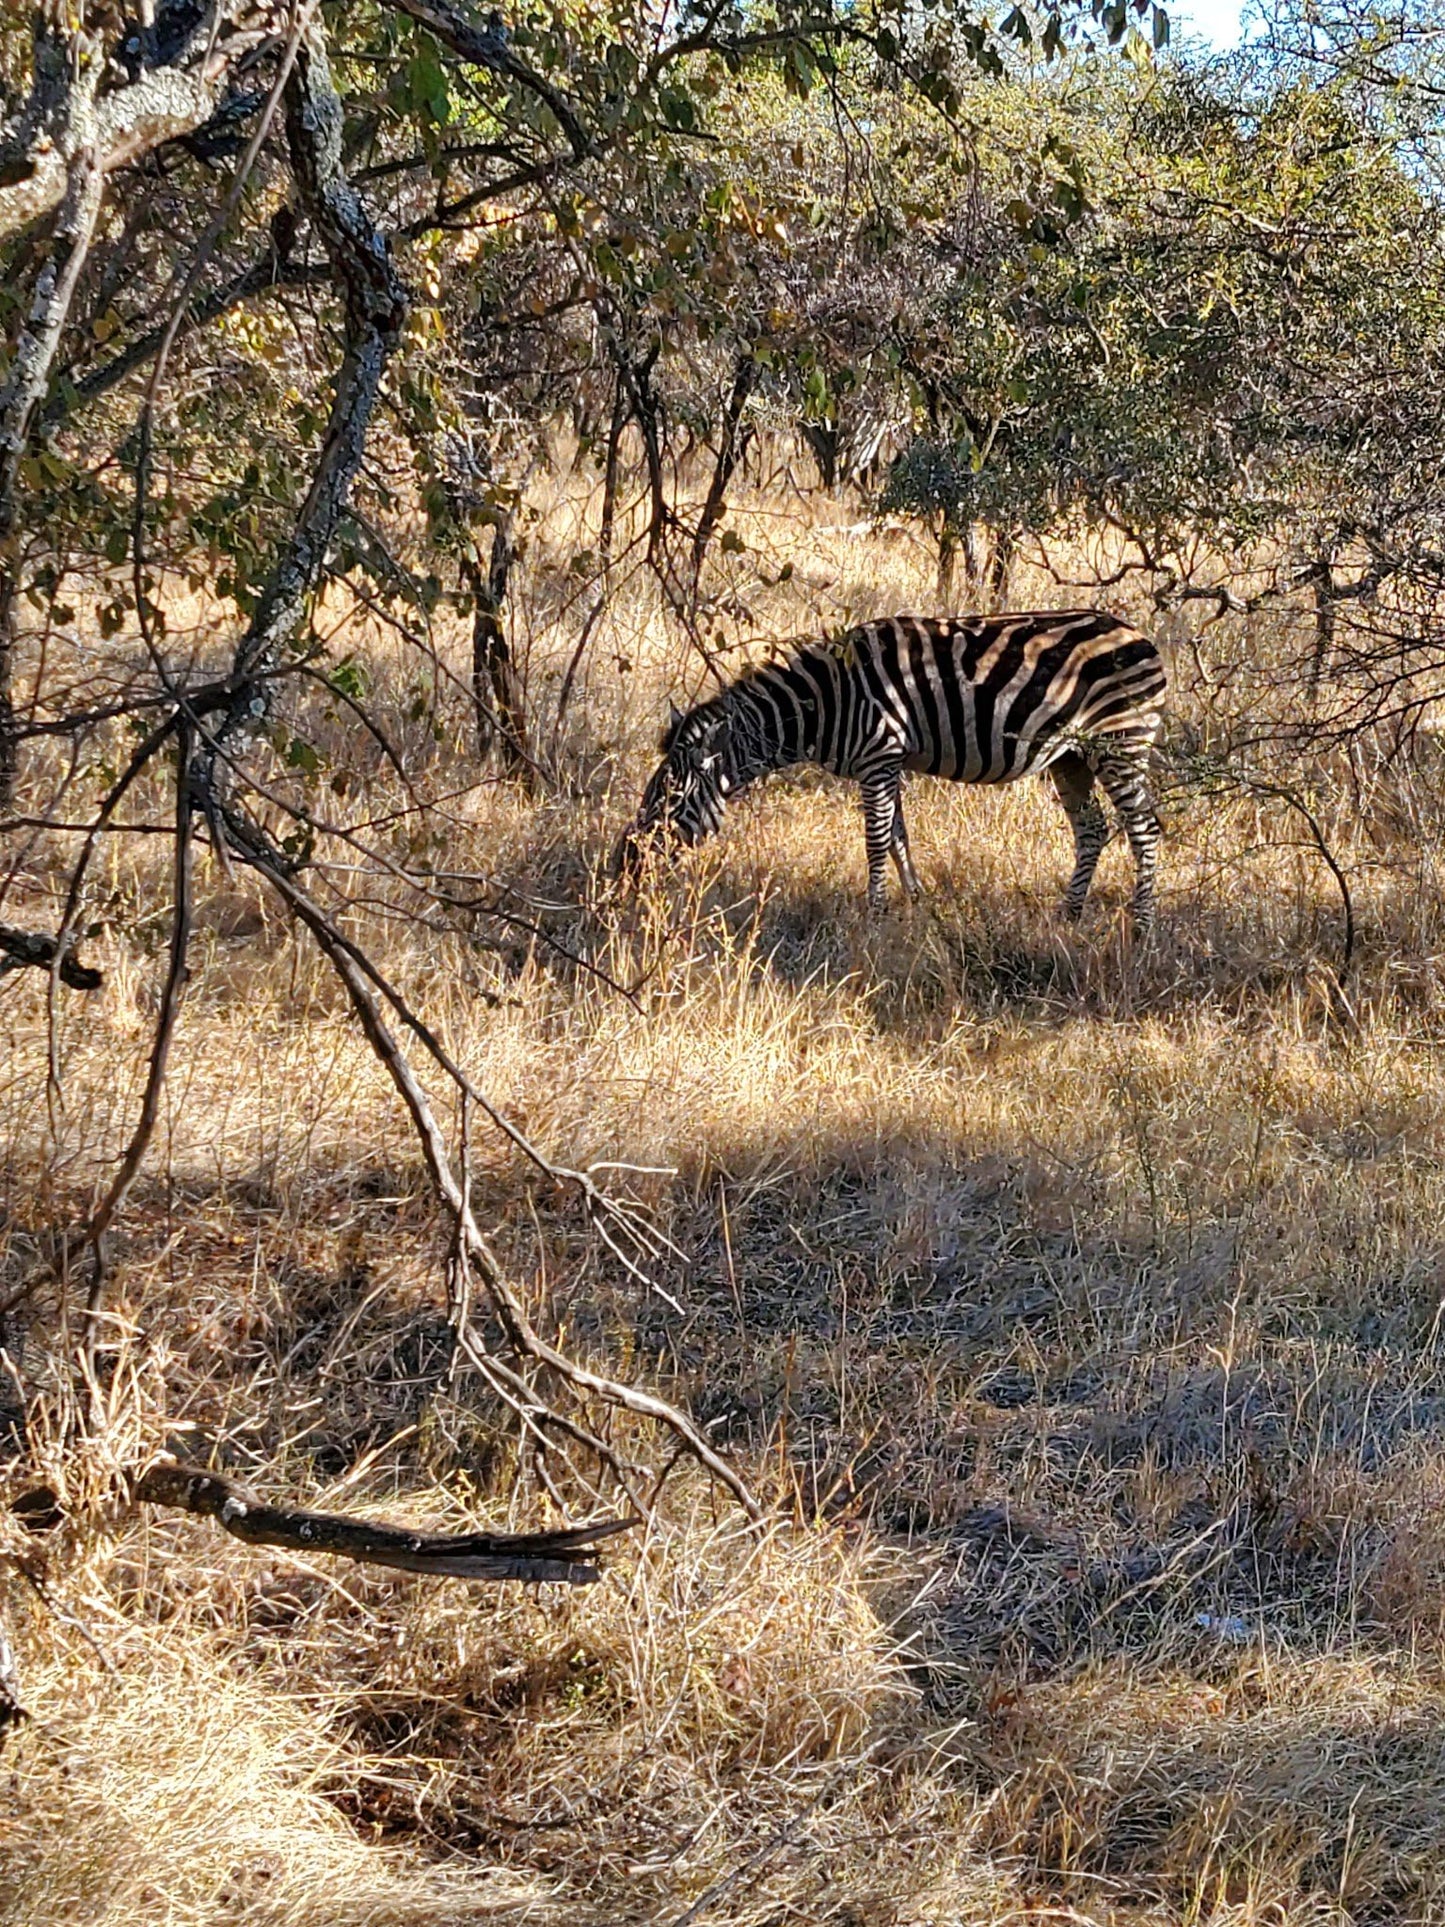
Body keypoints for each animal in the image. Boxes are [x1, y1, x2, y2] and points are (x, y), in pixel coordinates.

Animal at [616, 605, 1171, 928]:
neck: (828, 701)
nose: (625, 864)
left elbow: (876, 839)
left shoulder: (879, 758)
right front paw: (917, 905)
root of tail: (1141, 635)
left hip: (1121, 741)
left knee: (1143, 829)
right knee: (1092, 829)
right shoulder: (891, 760)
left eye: (672, 797)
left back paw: (1141, 926)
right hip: (1073, 756)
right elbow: (900, 835)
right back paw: (1069, 916)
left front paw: (877, 915)